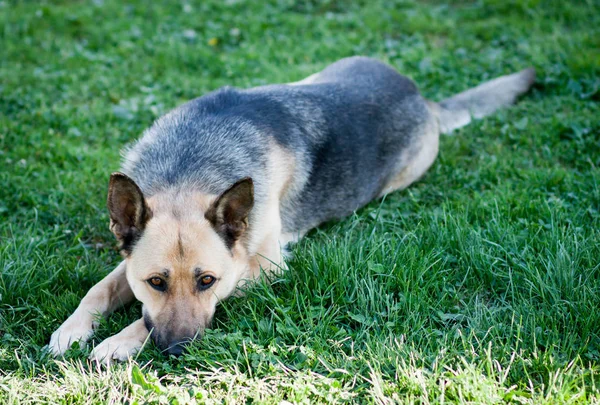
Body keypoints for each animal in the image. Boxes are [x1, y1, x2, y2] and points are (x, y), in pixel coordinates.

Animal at [48, 56, 536, 360]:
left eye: (208, 281)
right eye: (155, 282)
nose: (177, 351)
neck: (189, 168)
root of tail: (419, 94)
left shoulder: (262, 268)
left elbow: (143, 317)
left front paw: (120, 340)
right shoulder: (130, 257)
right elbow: (100, 290)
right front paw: (73, 329)